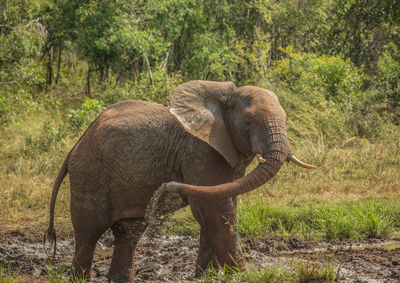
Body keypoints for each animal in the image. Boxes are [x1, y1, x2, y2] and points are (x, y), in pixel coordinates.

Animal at [44, 81, 316, 282]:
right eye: (248, 123)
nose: (166, 187)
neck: (224, 98)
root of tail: (76, 144)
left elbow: (219, 204)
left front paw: (205, 276)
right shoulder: (201, 152)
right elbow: (215, 209)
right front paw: (241, 276)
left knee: (129, 231)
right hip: (90, 175)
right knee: (89, 232)